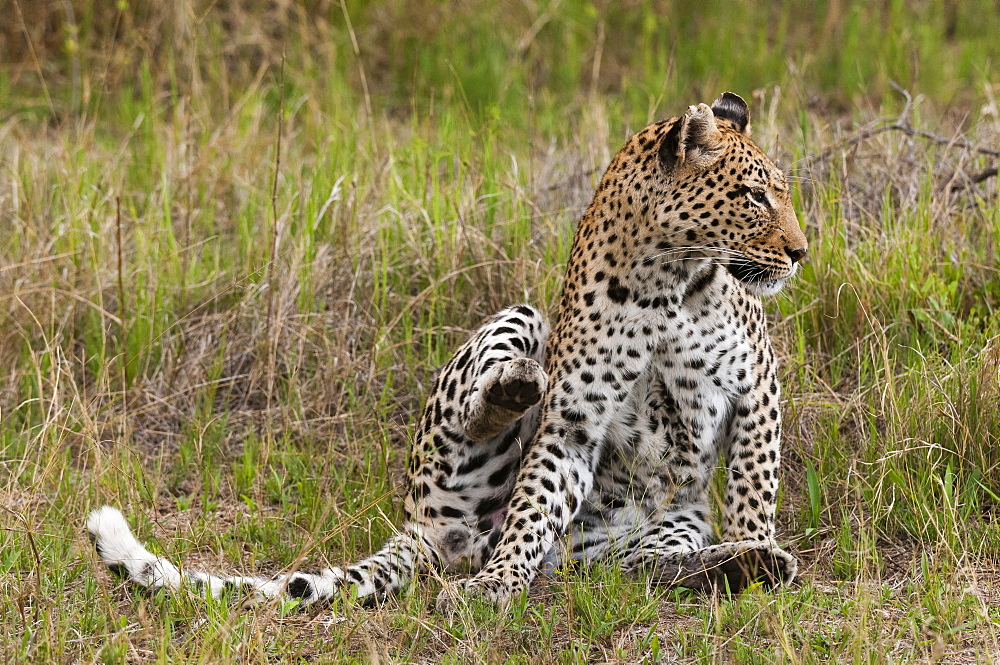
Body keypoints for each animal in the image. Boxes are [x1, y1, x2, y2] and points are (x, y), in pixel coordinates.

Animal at [86, 91, 804, 608]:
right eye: (753, 195)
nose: (800, 250)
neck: (667, 282)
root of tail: (435, 535)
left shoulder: (756, 387)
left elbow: (753, 486)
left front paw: (757, 540)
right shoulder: (573, 421)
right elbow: (533, 507)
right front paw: (496, 587)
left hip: (658, 528)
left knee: (647, 568)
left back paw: (741, 565)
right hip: (512, 341)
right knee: (492, 434)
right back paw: (515, 390)